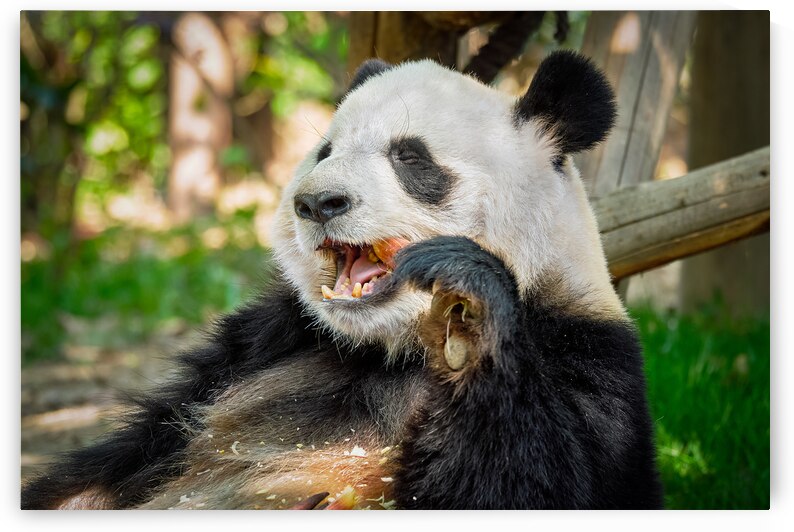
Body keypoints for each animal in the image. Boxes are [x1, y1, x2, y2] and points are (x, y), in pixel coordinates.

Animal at [22, 50, 663, 510]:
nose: (317, 203)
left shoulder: (588, 365)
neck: (386, 346)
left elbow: (533, 483)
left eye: (410, 157)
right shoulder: (262, 342)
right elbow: (122, 462)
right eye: (324, 151)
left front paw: (470, 312)